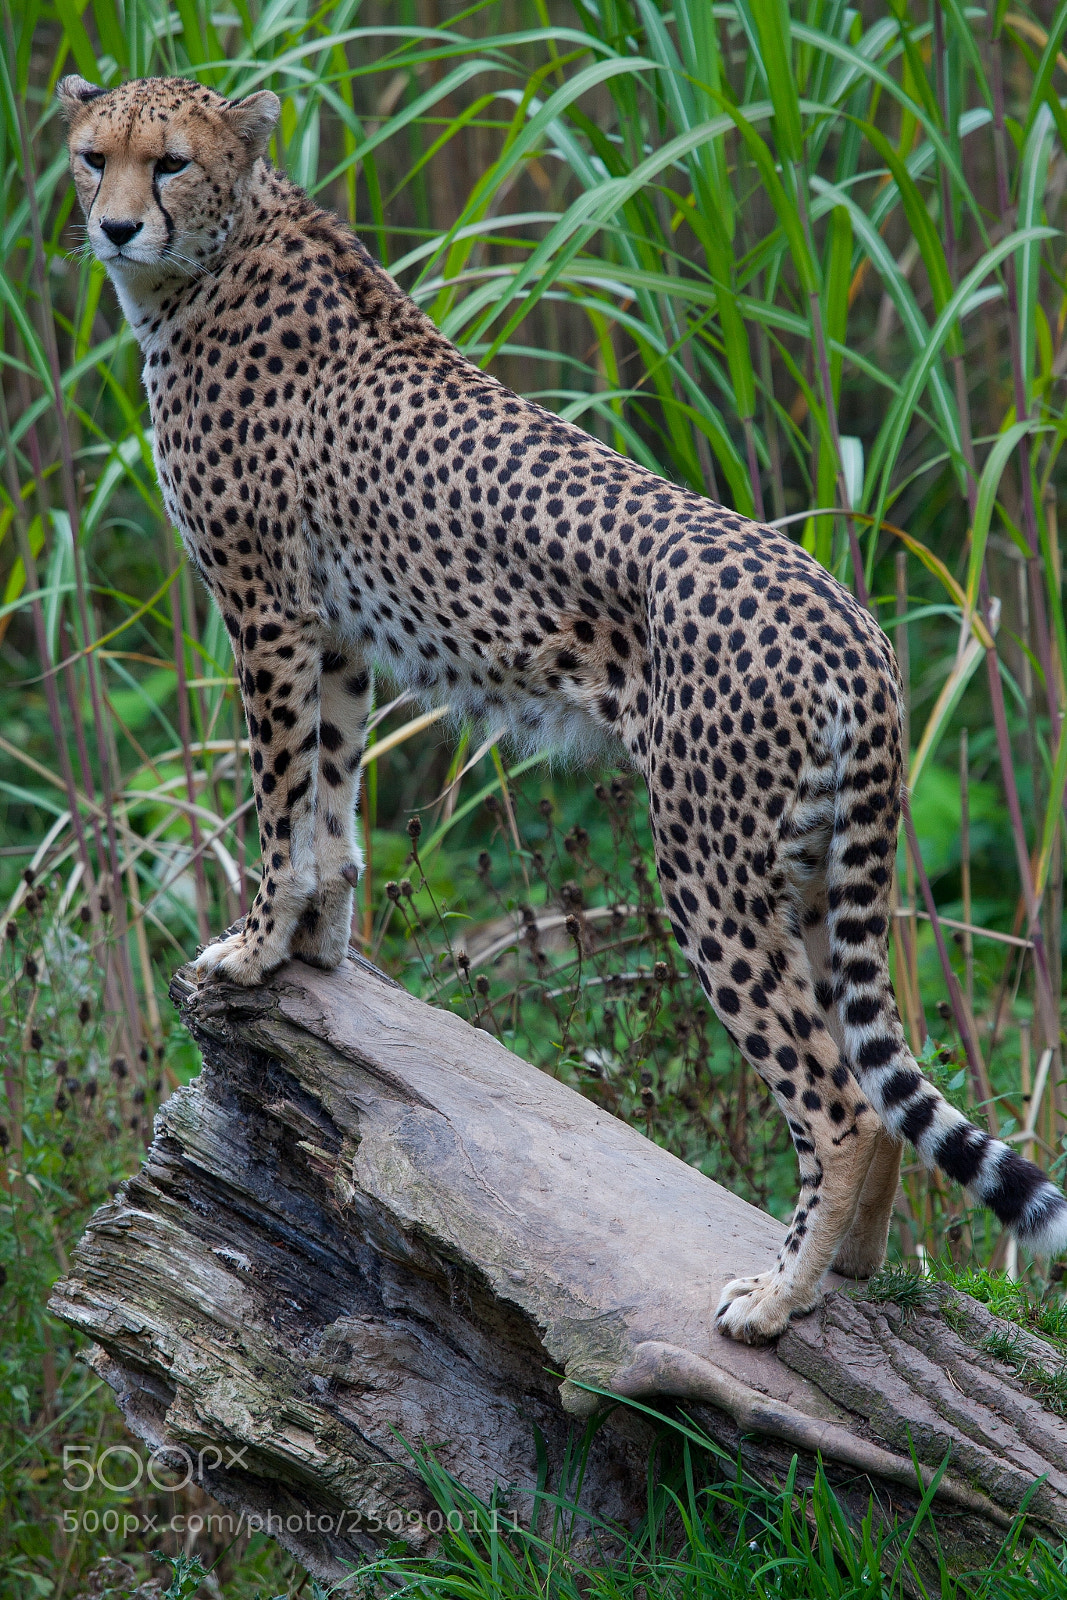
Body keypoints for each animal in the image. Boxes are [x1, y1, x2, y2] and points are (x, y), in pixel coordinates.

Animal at [60, 72, 1067, 1345]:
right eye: (92, 157)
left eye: (170, 163)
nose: (115, 227)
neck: (213, 257)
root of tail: (850, 615)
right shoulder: (330, 628)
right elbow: (329, 797)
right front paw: (316, 947)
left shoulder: (265, 607)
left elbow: (280, 794)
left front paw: (250, 948)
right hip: (808, 862)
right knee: (876, 1088)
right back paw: (842, 1274)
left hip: (708, 867)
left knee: (836, 1102)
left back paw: (775, 1297)